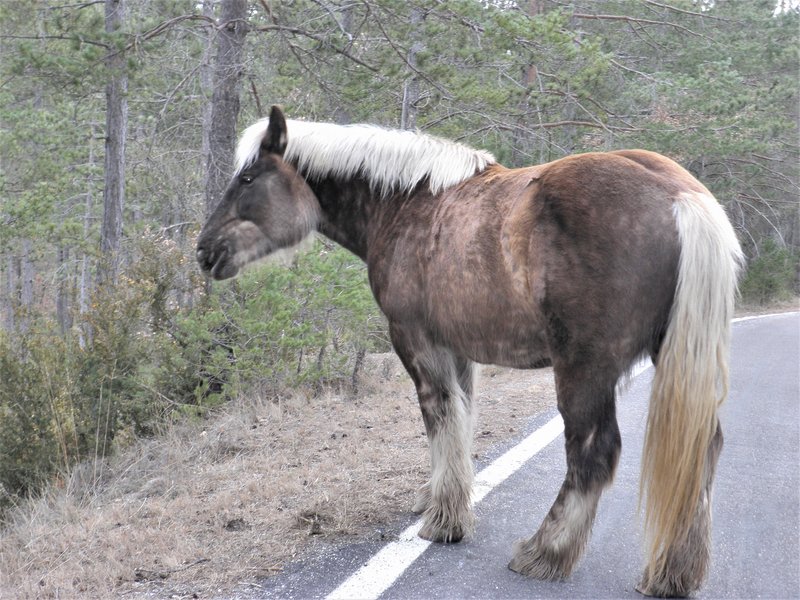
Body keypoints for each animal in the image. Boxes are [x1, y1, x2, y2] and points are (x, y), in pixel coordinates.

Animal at [198, 105, 744, 596]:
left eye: (247, 177)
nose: (204, 250)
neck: (406, 204)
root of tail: (680, 195)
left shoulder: (416, 342)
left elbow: (439, 418)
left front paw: (444, 522)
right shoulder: (459, 351)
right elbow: (461, 421)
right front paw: (443, 499)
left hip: (583, 369)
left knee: (593, 453)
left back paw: (545, 552)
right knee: (704, 450)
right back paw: (674, 573)